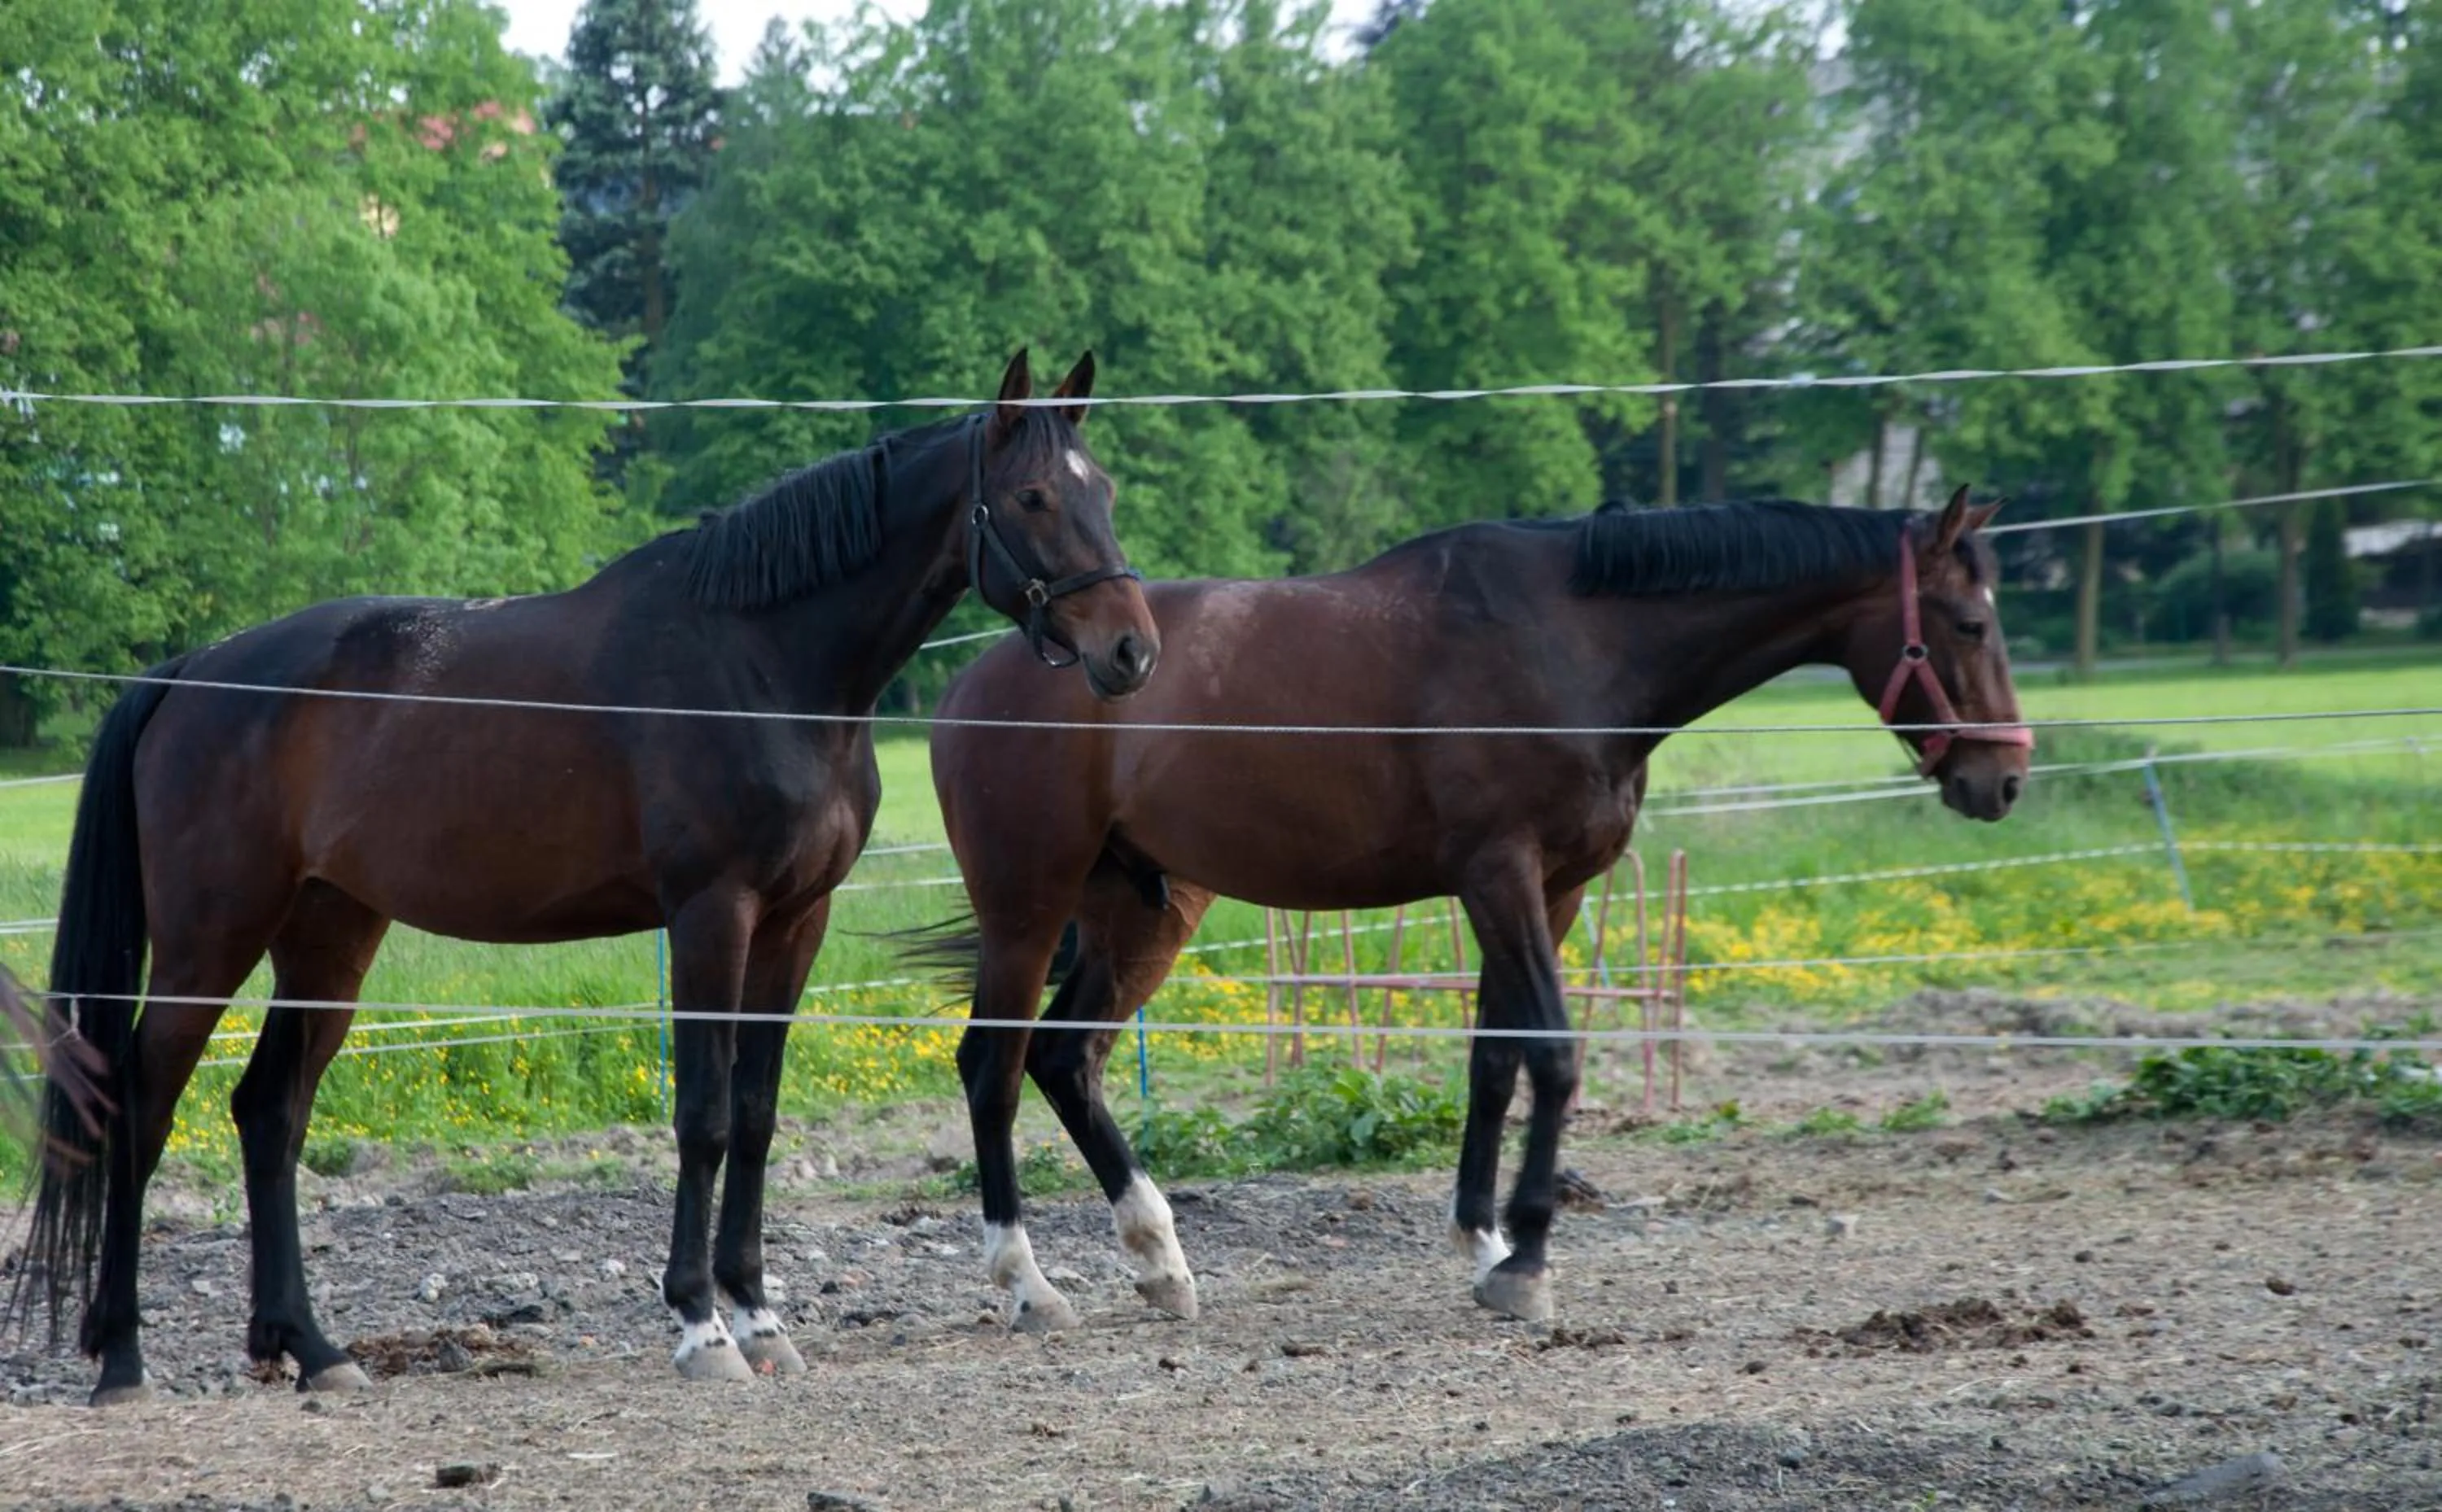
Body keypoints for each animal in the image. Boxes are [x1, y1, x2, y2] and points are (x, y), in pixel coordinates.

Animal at [12, 347, 1160, 1405]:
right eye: (1033, 496)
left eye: (1104, 488)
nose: (1131, 651)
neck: (764, 662)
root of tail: (188, 676)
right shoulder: (711, 915)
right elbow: (703, 1119)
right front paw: (701, 1326)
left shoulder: (797, 922)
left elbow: (756, 1118)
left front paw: (761, 1316)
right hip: (209, 940)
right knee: (141, 1108)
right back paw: (122, 1359)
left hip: (328, 937)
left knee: (267, 1115)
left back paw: (312, 1348)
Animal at [898, 486, 2029, 1331]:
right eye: (1970, 623)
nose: (2004, 780)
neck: (1573, 641)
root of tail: (975, 683)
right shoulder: (1504, 877)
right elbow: (1556, 1054)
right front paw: (1526, 1260)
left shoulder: (1554, 891)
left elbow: (1495, 1059)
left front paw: (1483, 1239)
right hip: (1030, 906)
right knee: (993, 1066)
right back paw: (1028, 1285)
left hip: (1139, 912)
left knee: (1064, 1060)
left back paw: (1159, 1262)